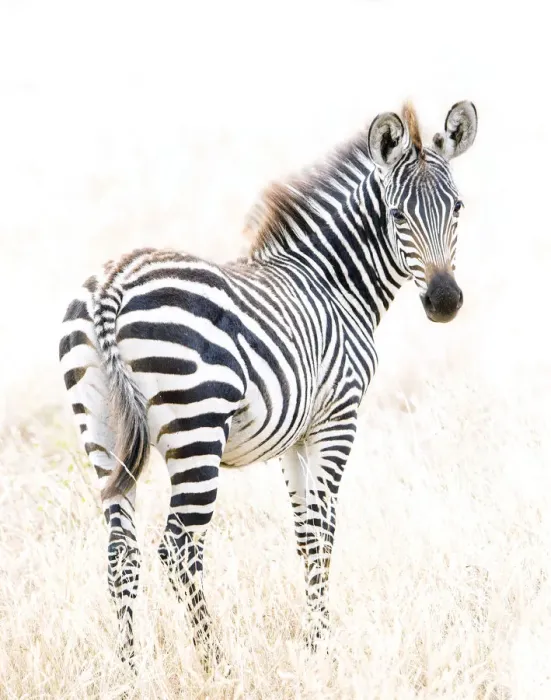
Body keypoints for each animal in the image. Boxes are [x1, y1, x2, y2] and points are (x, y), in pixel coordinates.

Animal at [58, 100, 477, 669]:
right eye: (397, 216)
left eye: (457, 208)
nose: (444, 302)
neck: (333, 282)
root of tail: (113, 283)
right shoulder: (337, 419)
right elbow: (323, 529)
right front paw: (323, 647)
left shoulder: (294, 436)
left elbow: (303, 531)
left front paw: (313, 639)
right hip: (197, 426)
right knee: (180, 547)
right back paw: (214, 660)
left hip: (100, 430)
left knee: (121, 551)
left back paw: (128, 668)